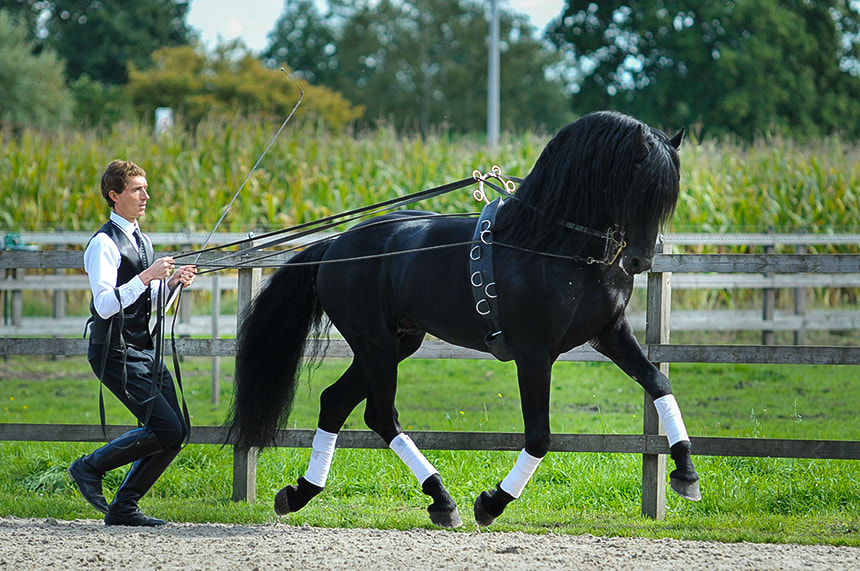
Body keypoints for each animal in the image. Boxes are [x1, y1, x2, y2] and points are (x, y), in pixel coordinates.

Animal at [227, 111, 700, 528]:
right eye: (639, 187)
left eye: (669, 194)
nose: (640, 261)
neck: (553, 246)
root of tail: (336, 245)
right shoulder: (534, 353)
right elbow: (540, 435)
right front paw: (492, 503)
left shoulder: (609, 334)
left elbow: (659, 383)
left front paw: (685, 474)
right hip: (374, 344)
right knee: (380, 415)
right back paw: (441, 499)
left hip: (396, 342)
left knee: (335, 402)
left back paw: (300, 493)